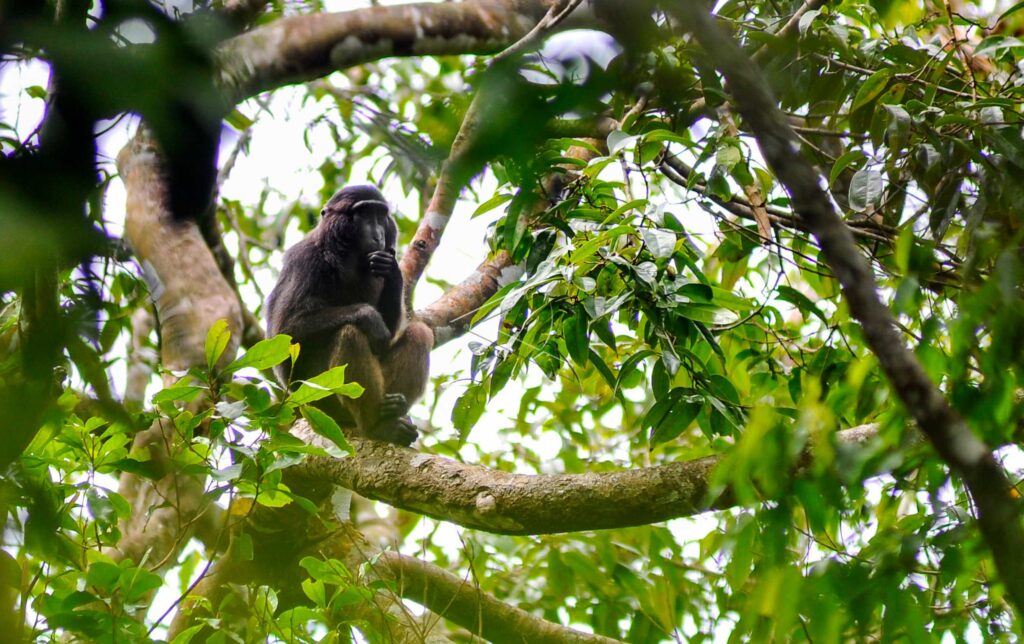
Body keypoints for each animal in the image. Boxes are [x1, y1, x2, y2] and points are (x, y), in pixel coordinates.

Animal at [265, 185, 433, 446]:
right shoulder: (305, 260)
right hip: (320, 401)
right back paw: (378, 427)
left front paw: (392, 270)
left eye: (380, 216)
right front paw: (369, 317)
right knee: (350, 334)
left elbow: (392, 330)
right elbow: (285, 332)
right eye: (364, 215)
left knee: (419, 333)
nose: (378, 234)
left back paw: (393, 412)